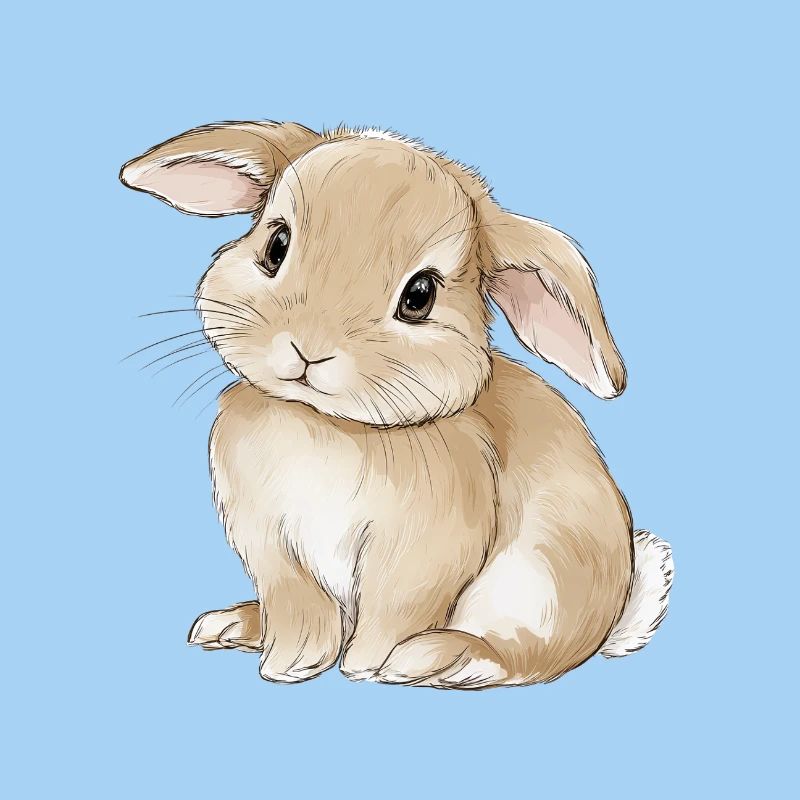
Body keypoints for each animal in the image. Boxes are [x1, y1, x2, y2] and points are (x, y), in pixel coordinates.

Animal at [119, 121, 673, 688]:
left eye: (420, 296)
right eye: (276, 245)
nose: (308, 348)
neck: (329, 424)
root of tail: (610, 616)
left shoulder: (424, 553)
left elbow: (394, 610)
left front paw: (366, 667)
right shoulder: (273, 548)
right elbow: (299, 606)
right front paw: (290, 664)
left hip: (536, 586)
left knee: (520, 659)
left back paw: (433, 657)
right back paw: (233, 624)